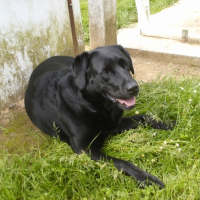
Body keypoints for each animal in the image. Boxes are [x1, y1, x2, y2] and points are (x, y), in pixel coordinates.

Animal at [25, 44, 171, 188]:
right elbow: (122, 162)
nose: (134, 88)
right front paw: (147, 179)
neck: (94, 104)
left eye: (126, 64)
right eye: (106, 72)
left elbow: (144, 117)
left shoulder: (114, 125)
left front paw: (168, 124)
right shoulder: (85, 149)